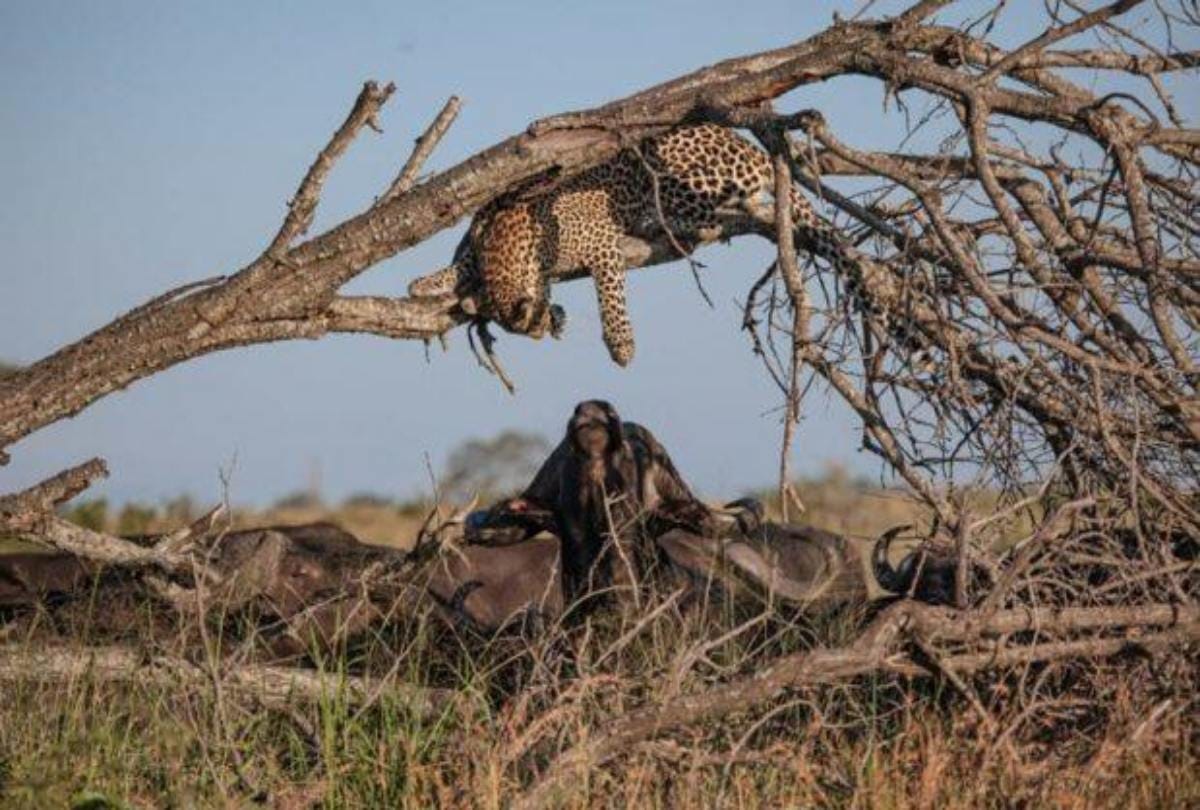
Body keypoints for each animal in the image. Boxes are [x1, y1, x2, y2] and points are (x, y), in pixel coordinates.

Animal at [408, 123, 925, 367]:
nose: (549, 329)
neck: (504, 243)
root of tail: (746, 143)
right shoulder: (478, 251)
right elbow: (452, 272)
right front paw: (423, 284)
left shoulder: (600, 241)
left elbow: (610, 292)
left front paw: (622, 345)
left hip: (680, 178)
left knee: (727, 206)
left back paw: (668, 220)